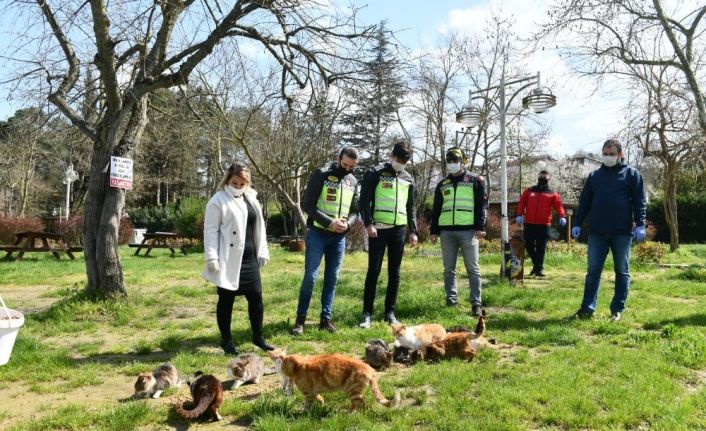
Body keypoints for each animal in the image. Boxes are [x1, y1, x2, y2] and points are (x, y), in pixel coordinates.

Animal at [266, 348, 398, 412]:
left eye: (282, 364)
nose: (279, 367)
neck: (298, 367)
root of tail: (370, 368)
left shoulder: (308, 393)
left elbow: (307, 404)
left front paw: (303, 411)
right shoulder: (313, 391)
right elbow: (319, 398)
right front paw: (321, 404)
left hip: (352, 391)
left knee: (361, 404)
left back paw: (355, 415)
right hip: (351, 392)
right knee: (355, 403)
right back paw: (347, 412)